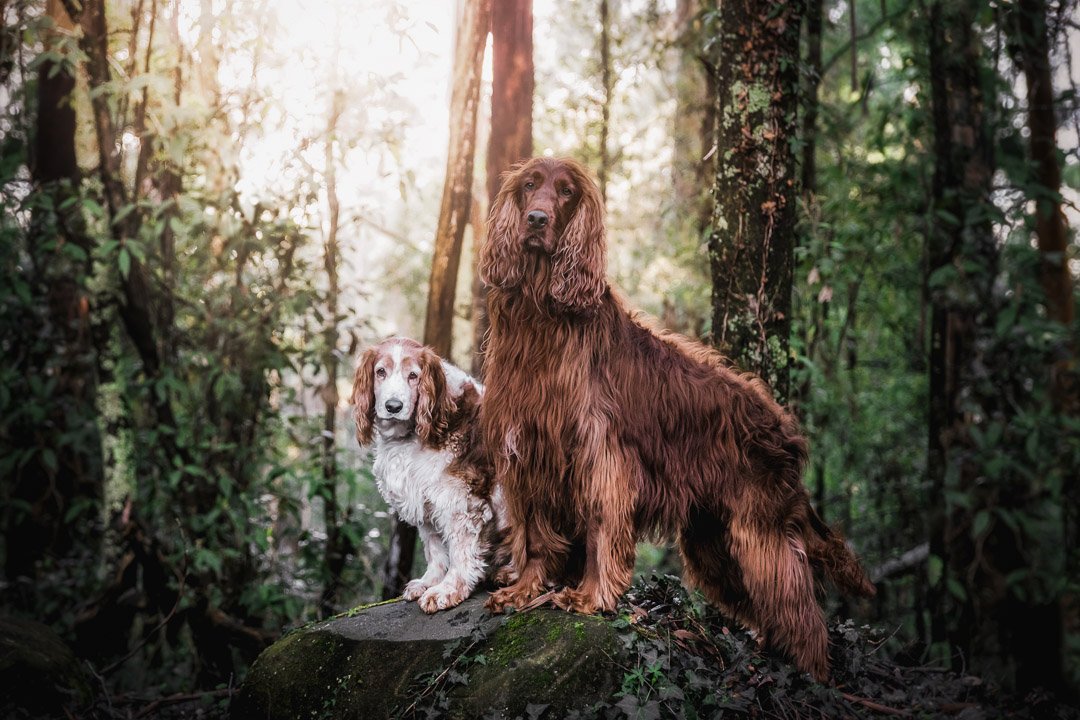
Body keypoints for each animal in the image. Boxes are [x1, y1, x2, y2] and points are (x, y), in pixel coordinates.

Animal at [352, 338, 507, 613]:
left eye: (414, 376)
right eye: (380, 372)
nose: (393, 406)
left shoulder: (460, 501)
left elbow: (460, 552)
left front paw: (448, 589)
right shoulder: (425, 499)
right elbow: (435, 549)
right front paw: (429, 582)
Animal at [477, 156, 872, 682]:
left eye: (565, 192)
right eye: (528, 185)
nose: (537, 220)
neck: (541, 317)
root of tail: (786, 429)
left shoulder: (599, 456)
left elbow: (599, 526)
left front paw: (590, 597)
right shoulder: (528, 450)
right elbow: (535, 536)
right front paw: (522, 591)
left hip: (760, 537)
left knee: (803, 615)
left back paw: (812, 679)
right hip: (713, 543)